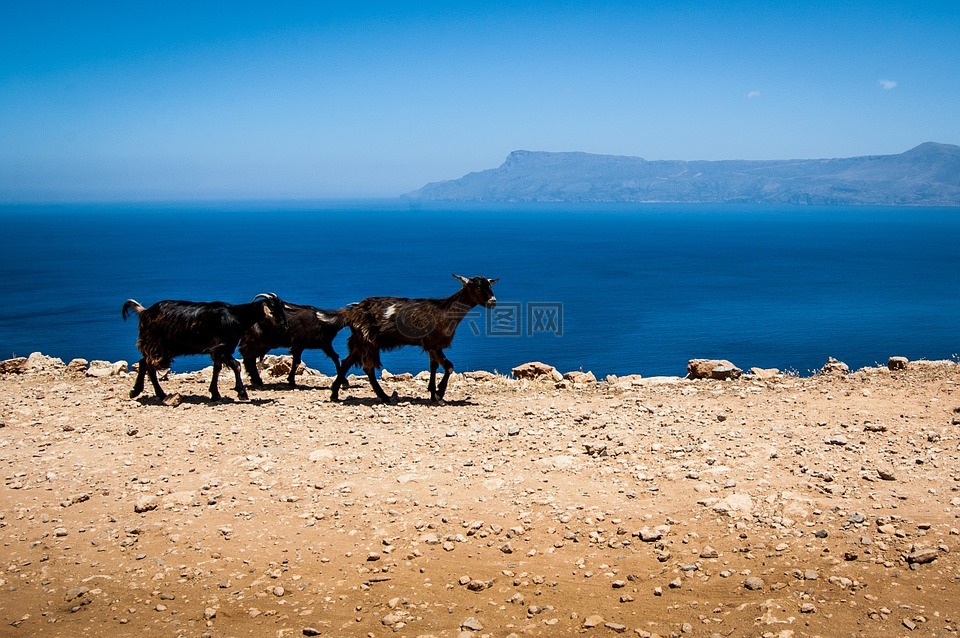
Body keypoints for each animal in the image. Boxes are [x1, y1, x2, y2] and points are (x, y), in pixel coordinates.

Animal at [121, 294, 284, 402]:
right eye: (273, 309)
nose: (283, 324)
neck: (237, 316)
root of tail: (144, 312)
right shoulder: (220, 348)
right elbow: (236, 366)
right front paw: (242, 393)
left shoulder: (222, 350)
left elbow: (217, 369)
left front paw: (215, 394)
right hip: (157, 345)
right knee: (149, 364)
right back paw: (153, 393)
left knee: (144, 363)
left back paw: (143, 392)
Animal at [328, 276, 496, 404]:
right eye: (478, 287)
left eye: (489, 285)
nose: (493, 301)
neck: (445, 311)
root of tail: (352, 311)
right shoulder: (433, 343)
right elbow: (448, 367)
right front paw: (439, 394)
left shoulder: (432, 346)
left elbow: (434, 366)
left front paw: (432, 393)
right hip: (367, 340)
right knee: (367, 368)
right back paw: (383, 396)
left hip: (360, 341)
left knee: (347, 362)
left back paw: (335, 394)